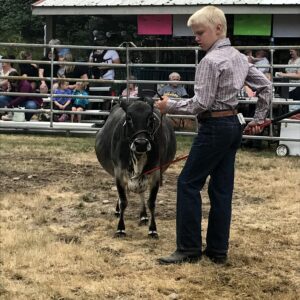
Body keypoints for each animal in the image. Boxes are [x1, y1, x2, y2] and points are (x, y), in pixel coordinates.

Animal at [95, 97, 176, 238]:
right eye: (128, 118)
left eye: (150, 118)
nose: (141, 144)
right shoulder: (119, 172)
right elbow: (123, 201)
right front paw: (120, 228)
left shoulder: (156, 173)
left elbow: (151, 202)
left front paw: (153, 229)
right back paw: (118, 211)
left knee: (141, 192)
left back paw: (143, 216)